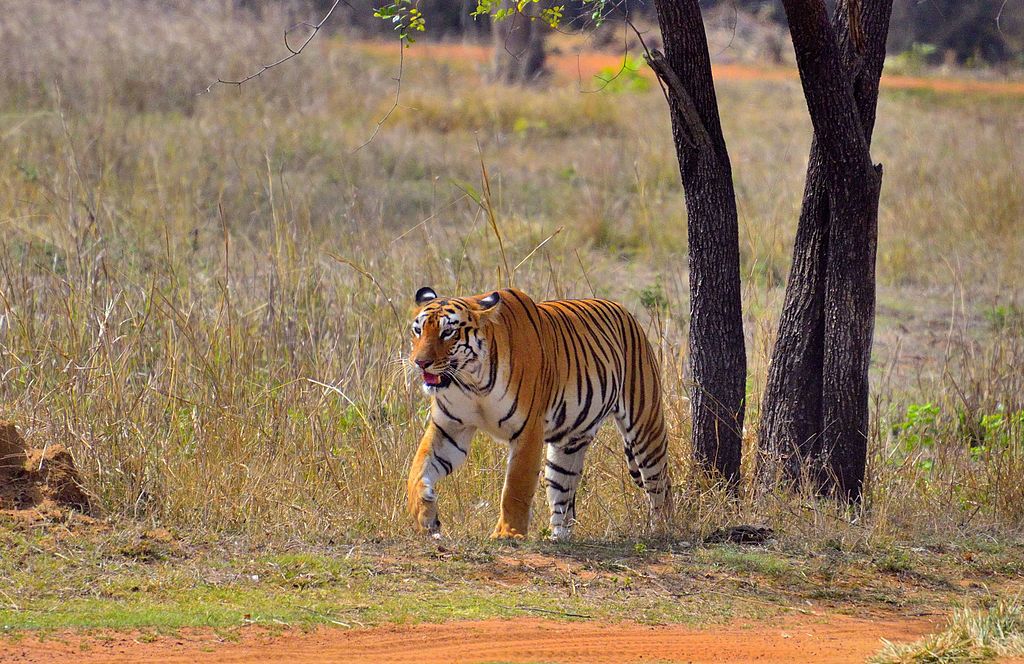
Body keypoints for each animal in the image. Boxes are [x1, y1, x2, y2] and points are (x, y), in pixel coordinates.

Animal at [407, 284, 671, 541]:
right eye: (418, 330)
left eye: (447, 333)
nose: (420, 362)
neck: (472, 382)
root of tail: (624, 311)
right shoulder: (449, 429)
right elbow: (418, 470)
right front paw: (424, 516)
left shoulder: (528, 430)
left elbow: (516, 485)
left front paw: (508, 533)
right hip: (568, 445)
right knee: (563, 491)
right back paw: (559, 537)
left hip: (645, 427)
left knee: (659, 483)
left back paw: (661, 529)